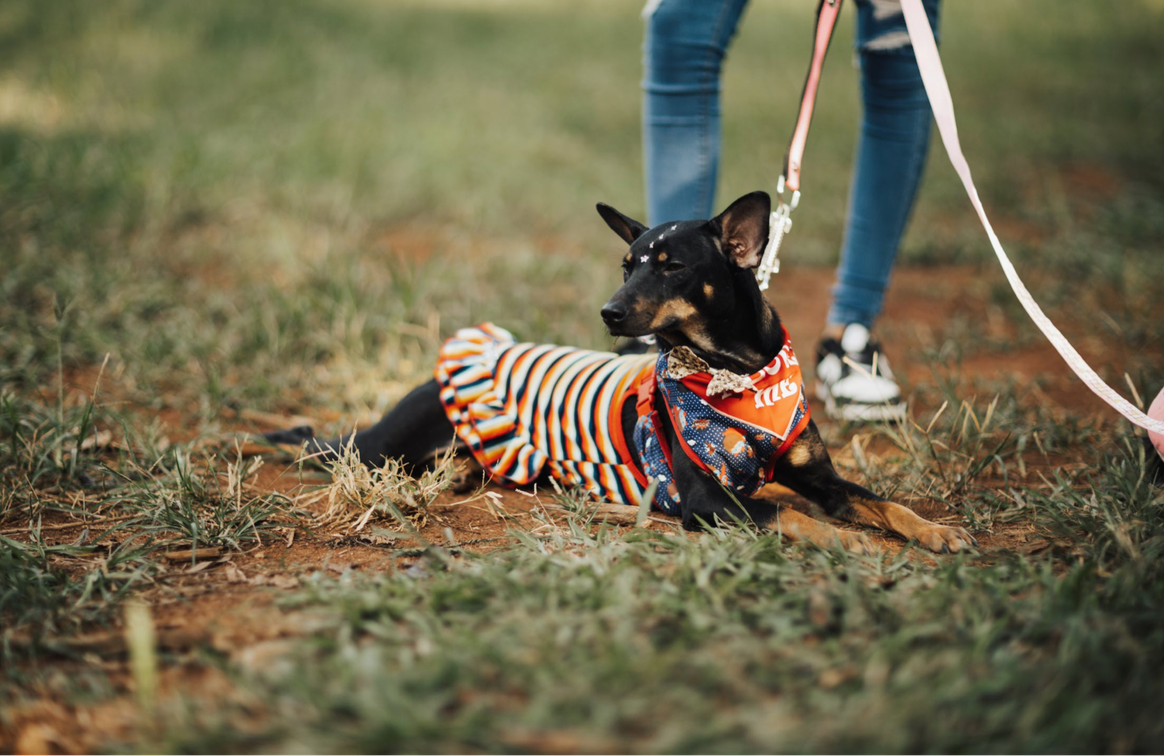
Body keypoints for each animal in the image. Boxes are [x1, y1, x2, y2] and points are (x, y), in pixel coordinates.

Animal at [264, 192, 973, 552]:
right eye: (626, 265)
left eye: (671, 265)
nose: (608, 312)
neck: (738, 377)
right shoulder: (709, 502)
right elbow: (791, 516)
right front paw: (852, 544)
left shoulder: (821, 479)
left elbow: (881, 503)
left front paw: (936, 532)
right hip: (378, 449)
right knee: (319, 447)